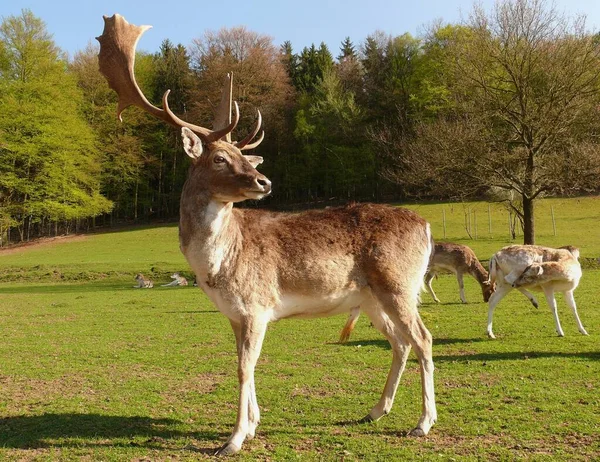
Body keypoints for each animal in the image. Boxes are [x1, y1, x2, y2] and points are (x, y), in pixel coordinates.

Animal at [97, 14, 436, 454]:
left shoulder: (256, 304)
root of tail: (426, 226)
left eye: (245, 156)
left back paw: (423, 423)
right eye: (220, 158)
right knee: (400, 342)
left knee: (424, 339)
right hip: (372, 298)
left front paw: (234, 439)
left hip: (399, 284)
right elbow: (245, 363)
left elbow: (245, 366)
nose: (265, 181)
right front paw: (255, 424)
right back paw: (375, 411)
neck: (216, 266)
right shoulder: (234, 313)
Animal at [338, 242, 492, 342]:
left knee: (426, 282)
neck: (470, 266)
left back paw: (435, 299)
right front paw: (463, 300)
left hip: (431, 269)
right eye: (491, 288)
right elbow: (461, 285)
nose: (486, 300)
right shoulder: (458, 268)